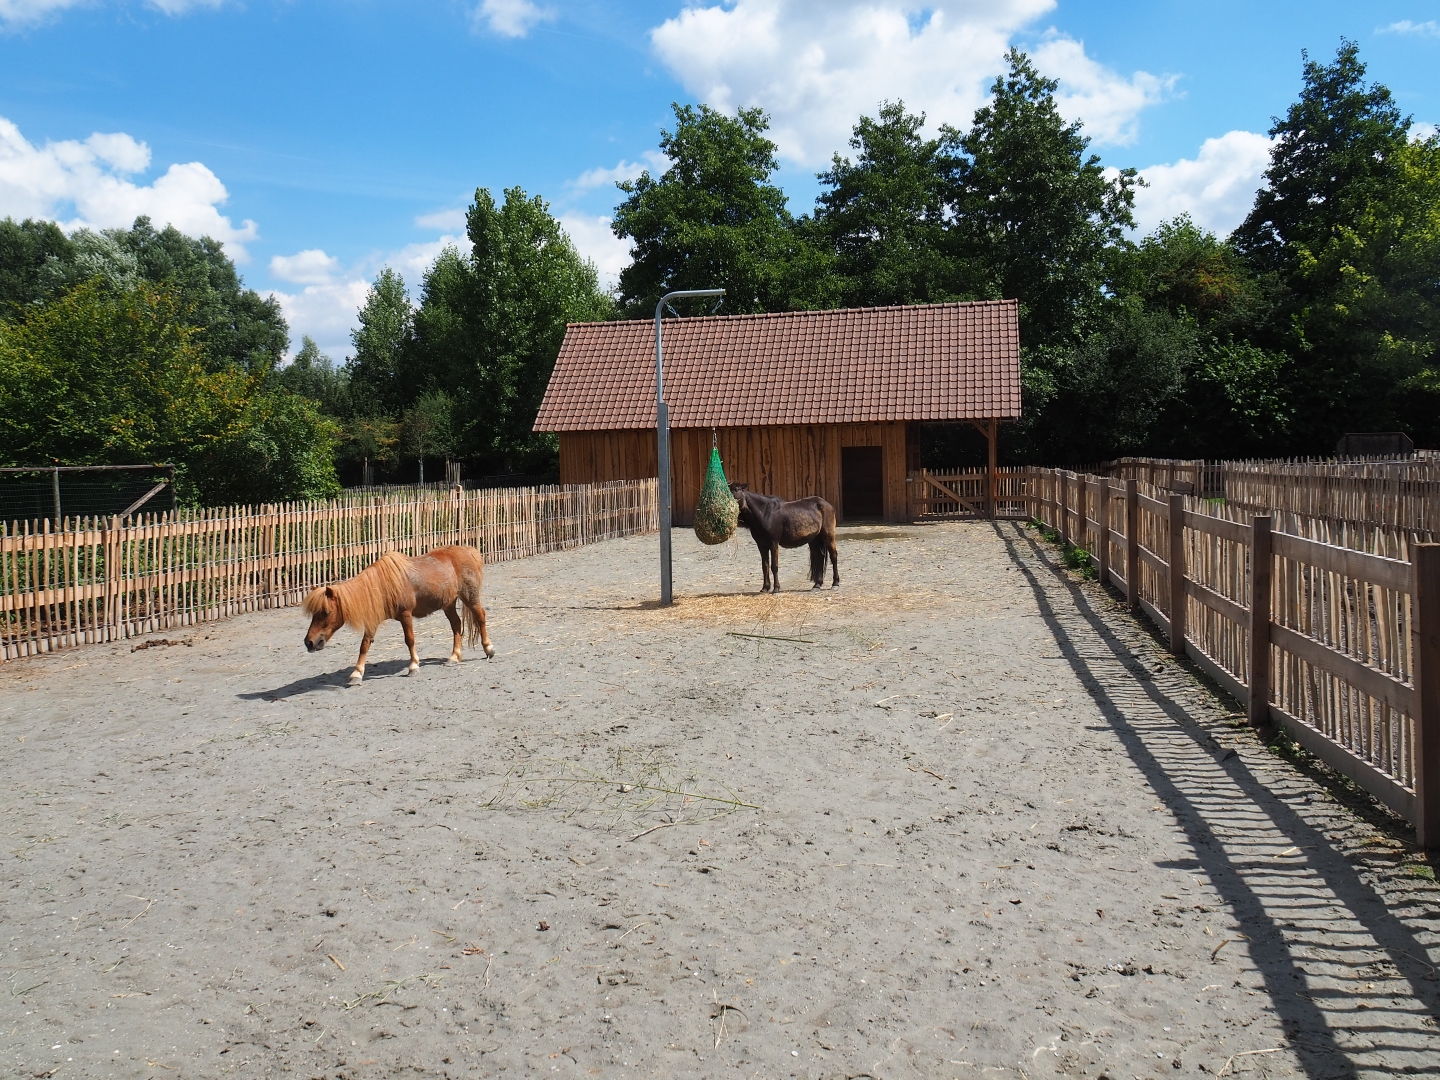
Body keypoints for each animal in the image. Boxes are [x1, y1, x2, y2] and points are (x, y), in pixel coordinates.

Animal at [302, 545, 495, 685]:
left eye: (326, 613)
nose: (309, 642)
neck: (381, 586)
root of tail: (467, 551)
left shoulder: (405, 614)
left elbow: (409, 640)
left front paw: (413, 667)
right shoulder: (373, 621)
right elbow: (364, 645)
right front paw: (356, 674)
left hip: (470, 598)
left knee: (480, 618)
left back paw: (488, 649)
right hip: (448, 604)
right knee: (456, 625)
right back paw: (454, 657)